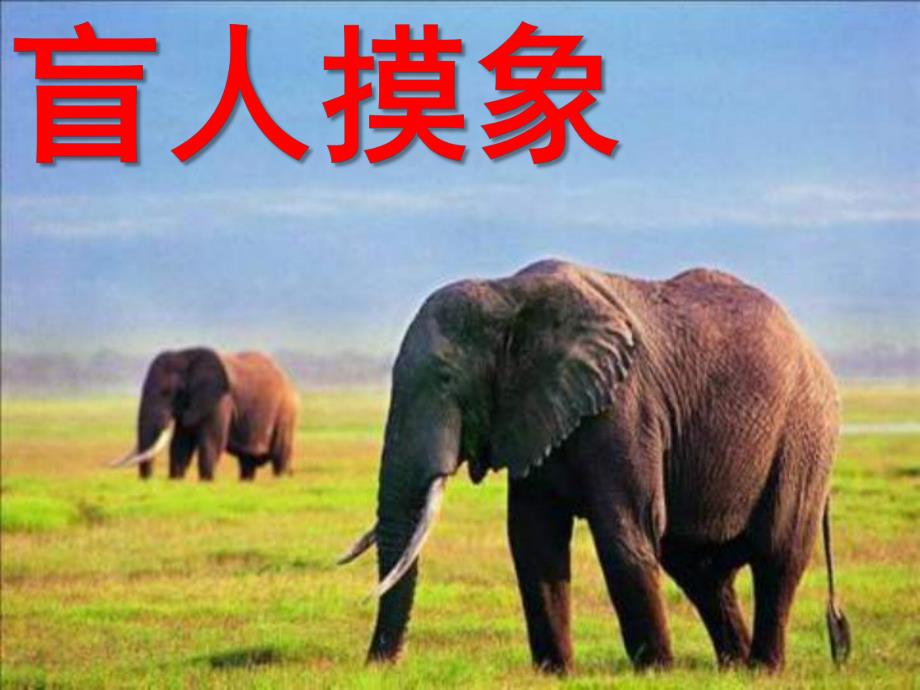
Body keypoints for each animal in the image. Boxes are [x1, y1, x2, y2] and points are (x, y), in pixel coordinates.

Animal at [108, 348, 299, 481]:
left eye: (166, 392)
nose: (148, 481)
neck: (185, 355)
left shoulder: (220, 400)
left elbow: (211, 442)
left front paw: (207, 482)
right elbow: (180, 445)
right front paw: (176, 481)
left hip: (286, 413)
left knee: (280, 457)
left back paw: (280, 480)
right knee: (247, 462)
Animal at [341, 259, 850, 673]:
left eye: (447, 379)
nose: (379, 666)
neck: (509, 294)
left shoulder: (625, 408)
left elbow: (624, 530)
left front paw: (656, 673)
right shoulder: (536, 412)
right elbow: (533, 538)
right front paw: (555, 673)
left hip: (804, 435)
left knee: (777, 555)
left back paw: (763, 669)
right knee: (699, 569)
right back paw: (734, 668)